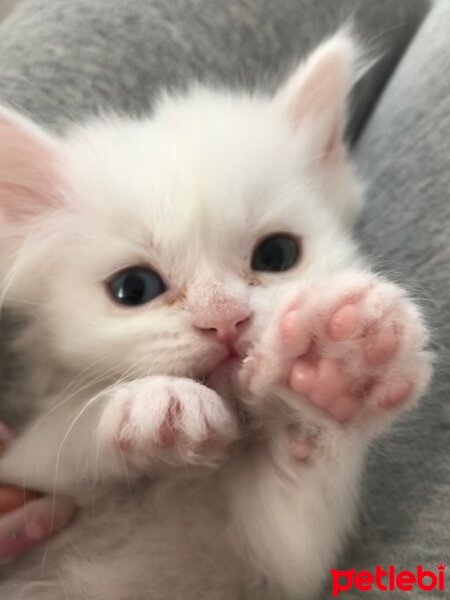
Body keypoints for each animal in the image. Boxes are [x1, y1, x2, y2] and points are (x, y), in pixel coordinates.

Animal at [0, 32, 430, 600]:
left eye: (275, 256)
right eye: (133, 288)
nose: (226, 320)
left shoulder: (280, 566)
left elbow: (297, 533)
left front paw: (338, 367)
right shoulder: (24, 476)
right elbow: (58, 433)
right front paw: (154, 403)